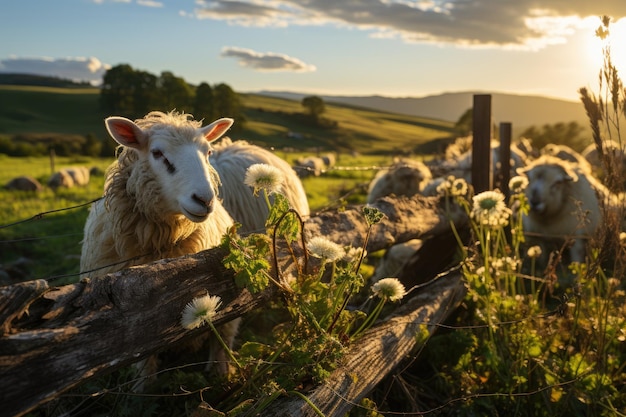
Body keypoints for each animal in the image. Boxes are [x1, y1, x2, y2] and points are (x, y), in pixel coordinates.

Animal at [81, 109, 238, 384]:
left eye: (208, 152)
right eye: (157, 153)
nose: (204, 200)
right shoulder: (130, 314)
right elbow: (143, 359)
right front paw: (143, 388)